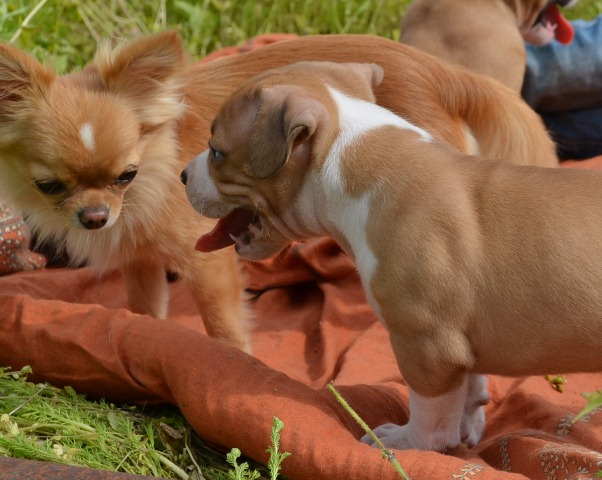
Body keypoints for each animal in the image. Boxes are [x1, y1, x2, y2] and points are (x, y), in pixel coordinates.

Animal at [181, 61, 602, 452]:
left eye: (216, 151)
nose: (184, 175)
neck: (348, 154)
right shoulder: (460, 345)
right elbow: (470, 387)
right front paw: (469, 427)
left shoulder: (429, 345)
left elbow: (433, 413)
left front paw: (406, 443)